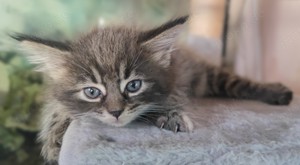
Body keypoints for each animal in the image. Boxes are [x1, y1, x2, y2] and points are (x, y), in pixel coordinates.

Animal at [12, 16, 292, 163]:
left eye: (133, 85)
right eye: (92, 92)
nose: (115, 112)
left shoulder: (177, 79)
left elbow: (169, 99)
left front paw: (170, 115)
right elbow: (60, 107)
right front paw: (55, 136)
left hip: (205, 74)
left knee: (237, 83)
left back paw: (278, 92)